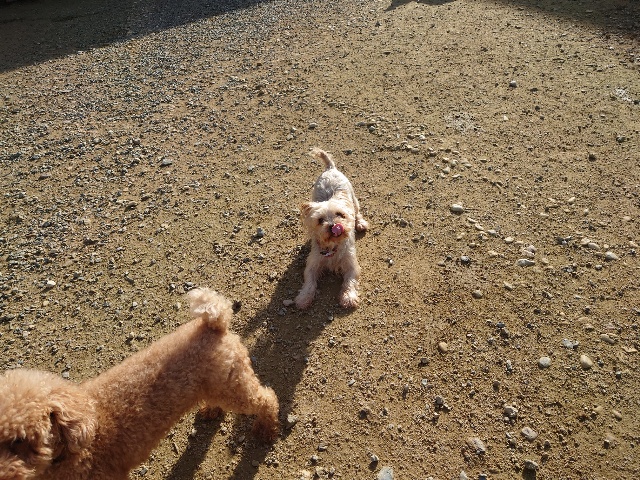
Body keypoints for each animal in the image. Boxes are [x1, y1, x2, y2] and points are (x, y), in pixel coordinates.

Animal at [0, 288, 279, 480]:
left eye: (20, 441)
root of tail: (214, 322)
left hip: (233, 387)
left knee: (267, 398)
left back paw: (266, 429)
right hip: (217, 383)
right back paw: (211, 411)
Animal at [295, 147, 368, 309]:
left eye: (340, 214)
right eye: (320, 220)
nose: (334, 226)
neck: (332, 246)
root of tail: (330, 168)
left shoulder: (351, 264)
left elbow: (350, 281)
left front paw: (348, 297)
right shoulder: (313, 263)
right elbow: (309, 282)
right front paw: (303, 298)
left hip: (354, 199)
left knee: (357, 212)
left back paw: (360, 223)